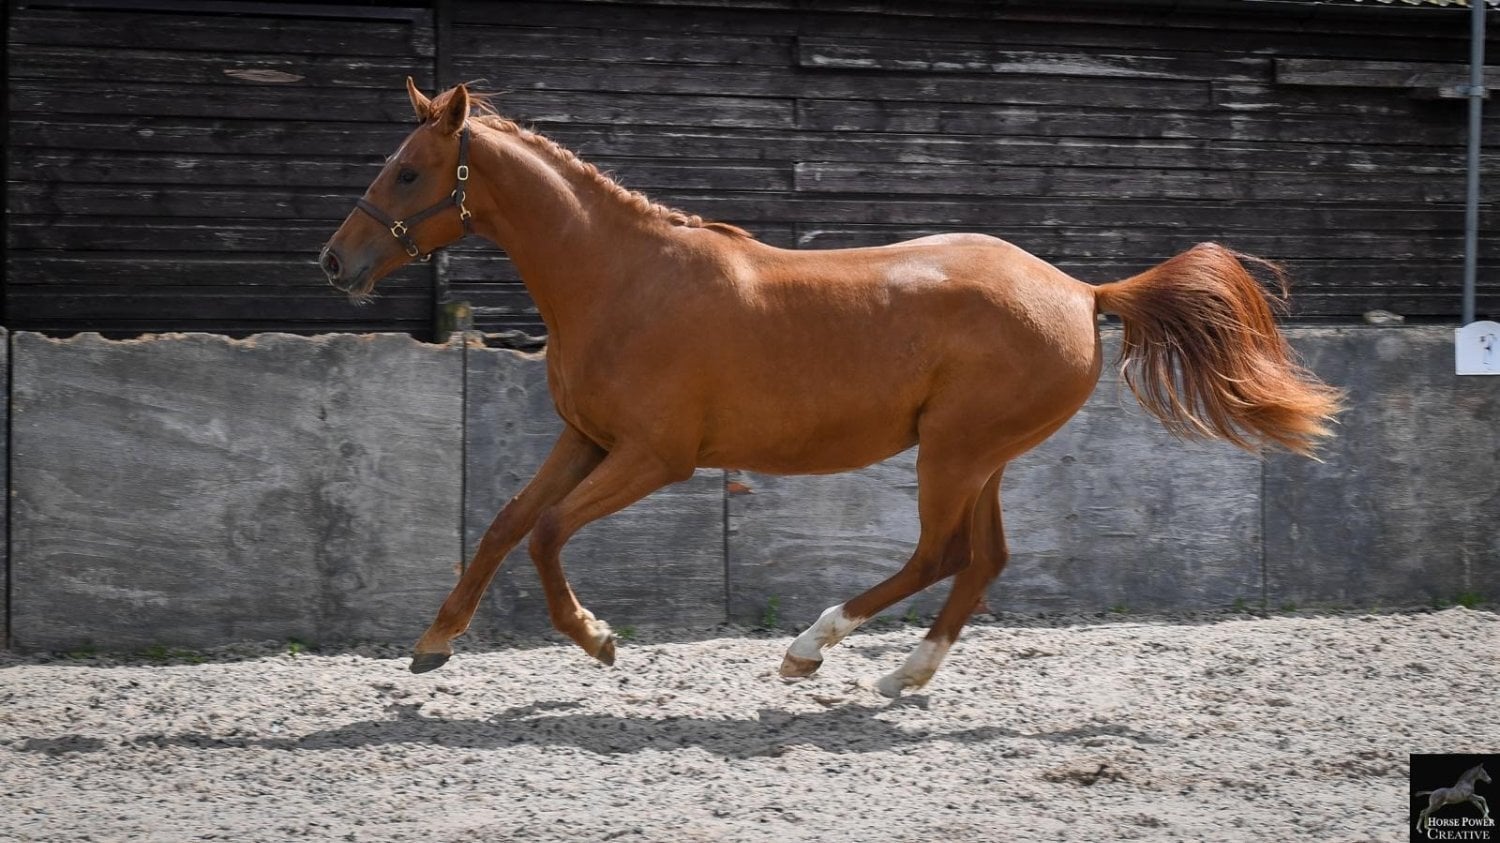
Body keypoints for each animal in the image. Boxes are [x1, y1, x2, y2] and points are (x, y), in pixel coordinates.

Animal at [318, 80, 1343, 697]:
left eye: (408, 170)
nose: (335, 262)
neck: (622, 280)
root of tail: (1083, 292)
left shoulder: (655, 456)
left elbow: (546, 532)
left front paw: (597, 638)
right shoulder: (588, 439)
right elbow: (503, 522)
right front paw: (433, 642)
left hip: (954, 450)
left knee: (938, 555)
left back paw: (809, 649)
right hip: (980, 456)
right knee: (983, 559)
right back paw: (904, 678)